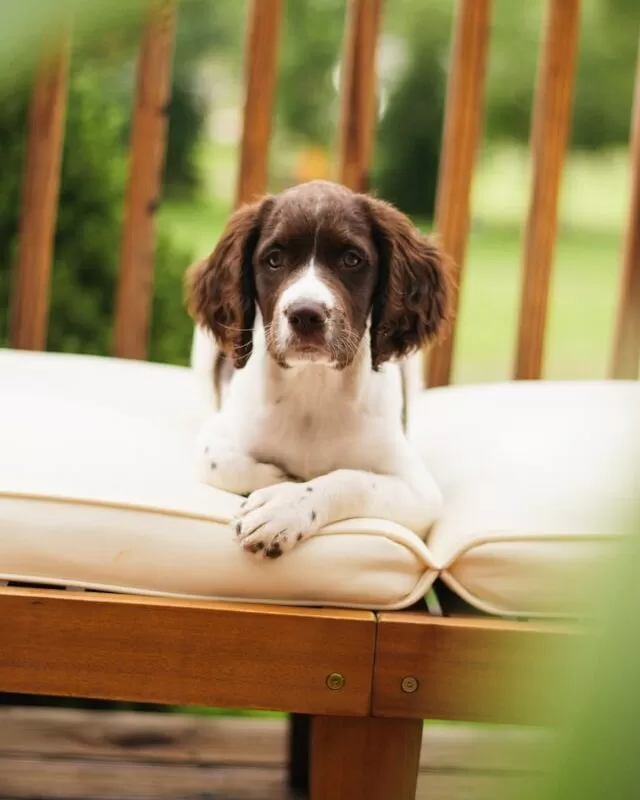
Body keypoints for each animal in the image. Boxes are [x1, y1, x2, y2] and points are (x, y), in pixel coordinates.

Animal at [188, 180, 452, 556]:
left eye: (351, 259)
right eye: (274, 259)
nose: (305, 315)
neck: (312, 384)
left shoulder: (419, 490)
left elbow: (351, 480)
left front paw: (283, 507)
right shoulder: (215, 439)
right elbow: (219, 463)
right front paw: (284, 479)